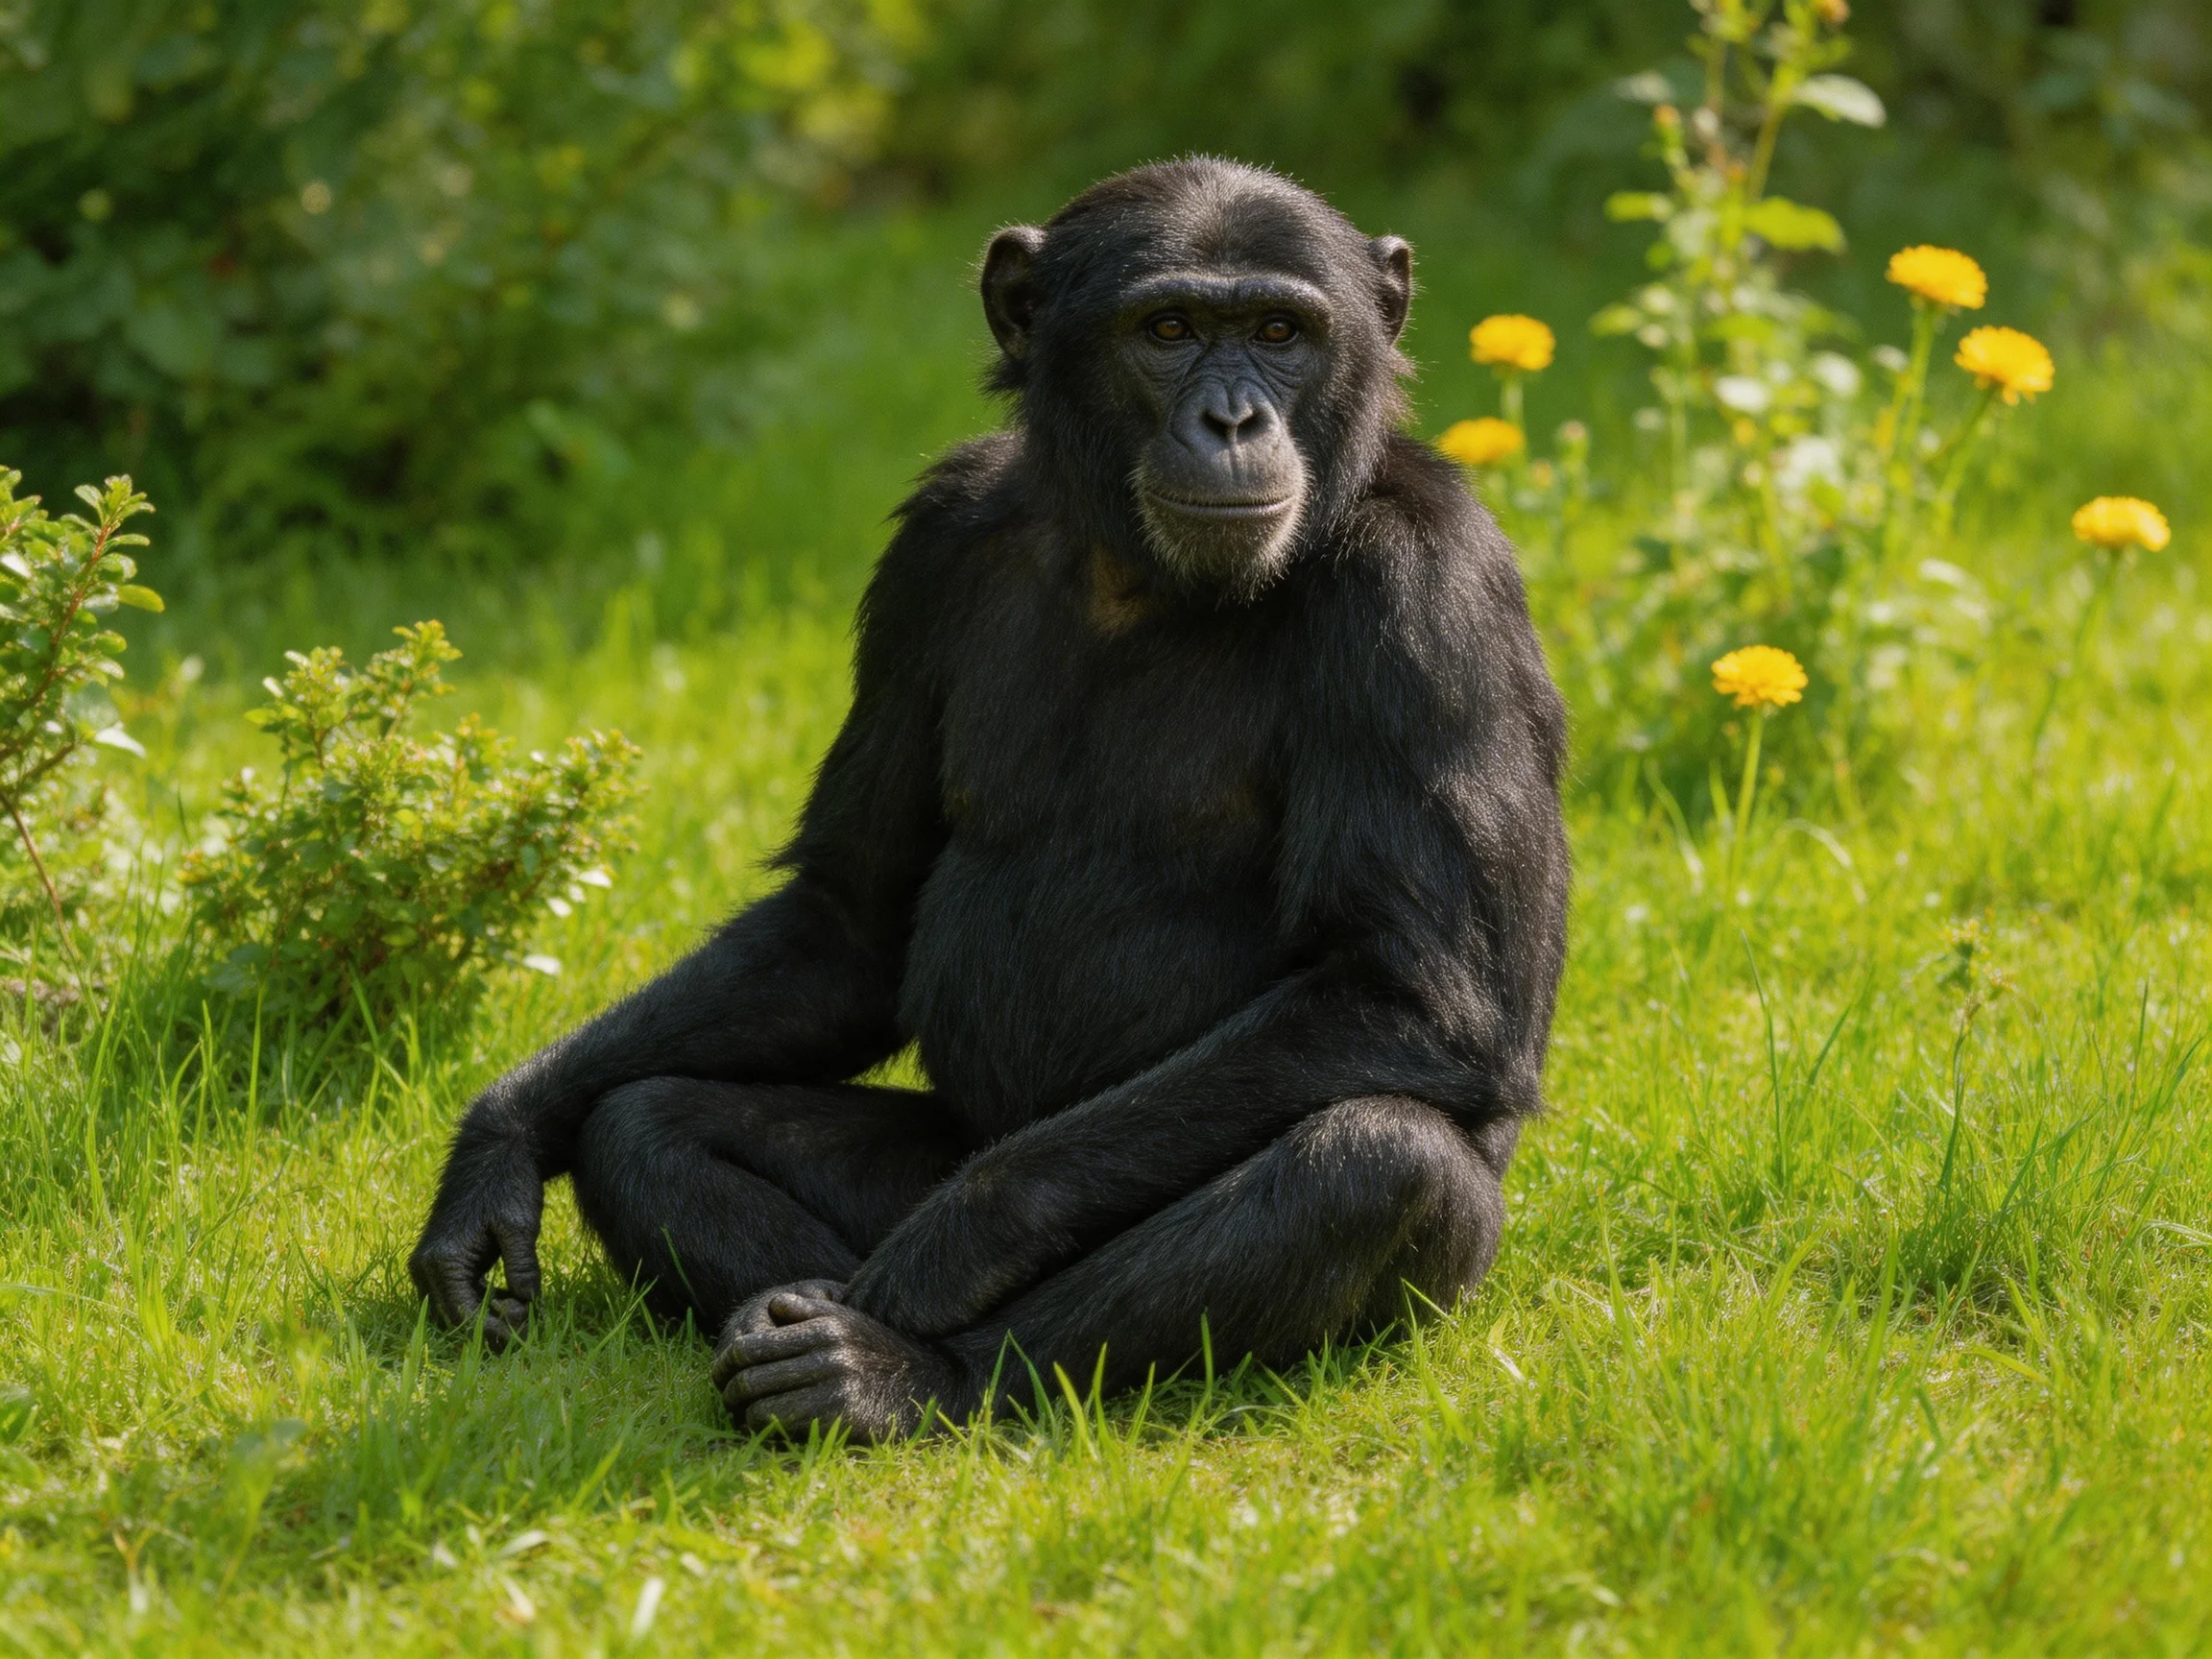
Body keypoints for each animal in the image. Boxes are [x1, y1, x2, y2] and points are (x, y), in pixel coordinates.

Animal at [409, 157, 1569, 1441]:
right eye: (1168, 331)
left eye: (1279, 332)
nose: (1231, 420)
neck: (1134, 570)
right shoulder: (933, 544)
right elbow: (853, 913)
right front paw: (505, 1136)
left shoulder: (1428, 593)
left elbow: (1418, 993)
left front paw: (946, 1256)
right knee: (648, 1122)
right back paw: (786, 1329)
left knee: (1369, 1165)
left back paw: (897, 1367)